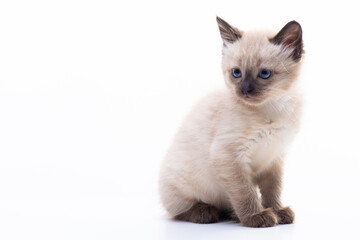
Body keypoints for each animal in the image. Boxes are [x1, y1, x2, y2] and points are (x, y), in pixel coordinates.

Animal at [160, 16, 304, 227]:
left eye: (264, 74)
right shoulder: (229, 155)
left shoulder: (274, 156)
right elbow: (245, 192)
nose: (245, 90)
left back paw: (233, 214)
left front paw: (278, 211)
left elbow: (273, 190)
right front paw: (256, 217)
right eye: (237, 73)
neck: (274, 106)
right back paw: (206, 213)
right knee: (180, 211)